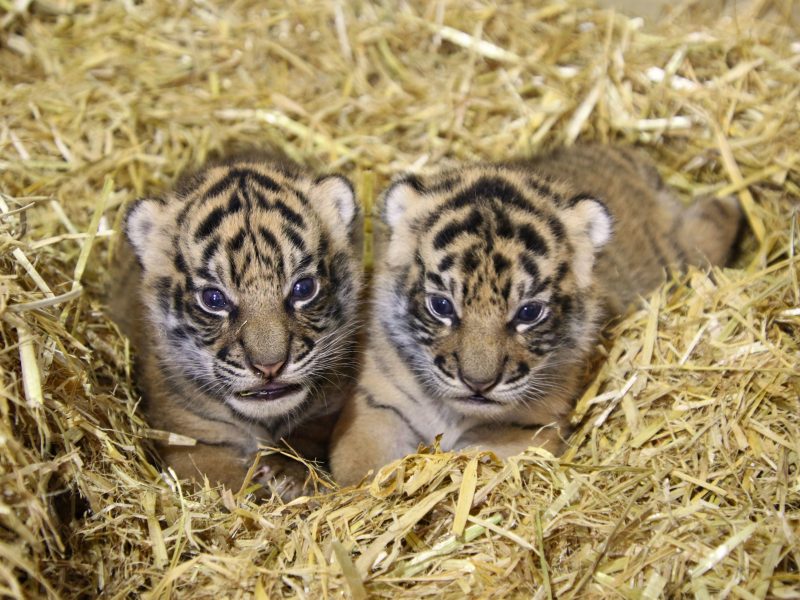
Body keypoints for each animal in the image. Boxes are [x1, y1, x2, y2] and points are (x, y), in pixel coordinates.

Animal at [110, 153, 362, 499]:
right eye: (213, 299)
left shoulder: (331, 406)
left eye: (303, 288)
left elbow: (307, 435)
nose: (270, 367)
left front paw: (286, 473)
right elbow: (218, 478)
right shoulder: (186, 438)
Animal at [329, 144, 742, 486]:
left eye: (528, 312)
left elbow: (478, 457)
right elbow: (356, 465)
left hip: (679, 259)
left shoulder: (530, 427)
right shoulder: (377, 406)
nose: (478, 384)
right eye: (442, 306)